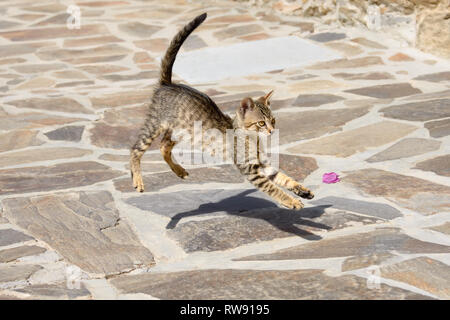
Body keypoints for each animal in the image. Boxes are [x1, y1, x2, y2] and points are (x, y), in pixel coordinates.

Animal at [128, 12, 314, 209]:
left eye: (273, 120)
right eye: (261, 123)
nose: (271, 131)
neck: (252, 138)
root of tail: (168, 84)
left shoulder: (263, 165)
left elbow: (283, 178)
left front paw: (302, 190)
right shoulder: (251, 170)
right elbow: (274, 189)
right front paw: (291, 201)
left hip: (181, 131)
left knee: (164, 146)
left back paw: (179, 171)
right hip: (155, 125)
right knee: (135, 149)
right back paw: (138, 180)